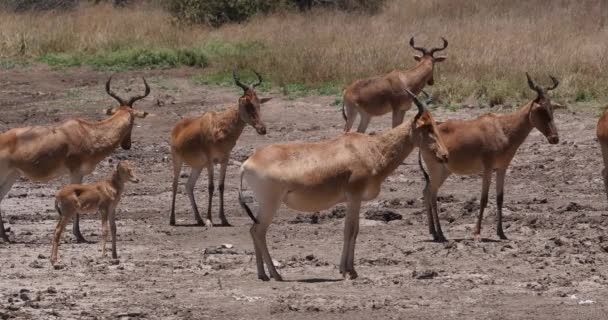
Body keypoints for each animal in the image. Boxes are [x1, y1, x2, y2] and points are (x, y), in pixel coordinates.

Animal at [0, 77, 150, 242]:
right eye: (133, 121)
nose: (127, 145)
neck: (86, 132)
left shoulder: (81, 173)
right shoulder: (75, 172)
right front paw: (79, 236)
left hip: (12, 175)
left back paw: (6, 237)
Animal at [167, 70, 270, 225]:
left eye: (258, 103)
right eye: (248, 104)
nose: (262, 129)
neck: (219, 125)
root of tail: (176, 128)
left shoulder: (224, 160)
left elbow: (221, 186)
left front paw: (224, 219)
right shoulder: (210, 161)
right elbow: (211, 187)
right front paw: (209, 220)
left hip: (198, 166)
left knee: (189, 186)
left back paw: (199, 219)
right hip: (177, 160)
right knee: (175, 184)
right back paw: (173, 219)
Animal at [240, 89, 448, 280]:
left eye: (434, 123)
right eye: (427, 126)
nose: (444, 155)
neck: (369, 149)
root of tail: (247, 163)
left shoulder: (353, 200)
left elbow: (354, 231)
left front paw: (347, 269)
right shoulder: (354, 197)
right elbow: (350, 231)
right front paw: (350, 271)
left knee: (253, 230)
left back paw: (263, 274)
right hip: (271, 204)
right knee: (259, 231)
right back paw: (275, 274)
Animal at [420, 73, 560, 242]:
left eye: (551, 107)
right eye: (541, 108)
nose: (555, 138)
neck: (502, 128)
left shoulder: (501, 168)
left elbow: (500, 198)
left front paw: (501, 233)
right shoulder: (487, 168)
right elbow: (484, 199)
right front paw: (477, 233)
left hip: (444, 172)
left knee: (427, 192)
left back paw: (434, 232)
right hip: (436, 169)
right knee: (432, 193)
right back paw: (440, 234)